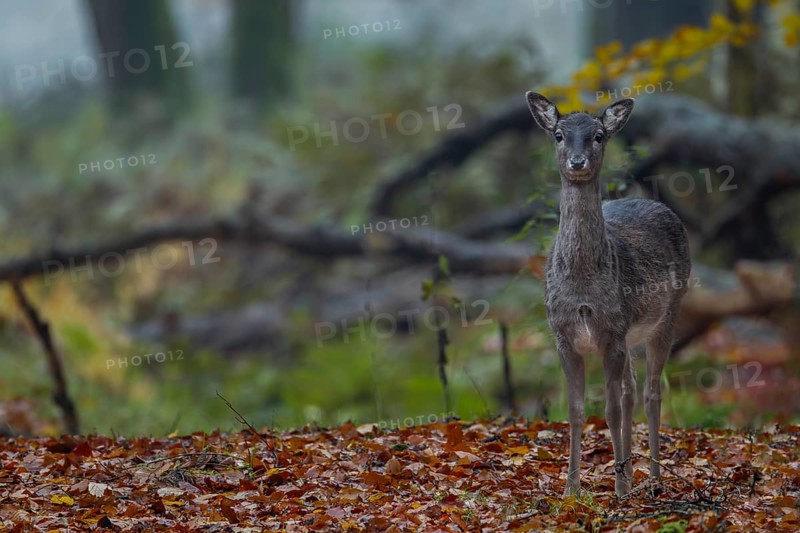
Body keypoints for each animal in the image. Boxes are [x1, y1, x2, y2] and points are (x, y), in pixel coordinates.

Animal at [525, 92, 691, 497]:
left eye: (598, 135)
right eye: (558, 134)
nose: (577, 161)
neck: (583, 286)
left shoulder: (611, 332)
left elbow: (611, 410)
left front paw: (617, 488)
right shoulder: (564, 335)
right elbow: (575, 411)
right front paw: (572, 489)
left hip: (668, 313)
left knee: (650, 393)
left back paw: (653, 480)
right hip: (631, 333)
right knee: (631, 390)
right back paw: (631, 472)